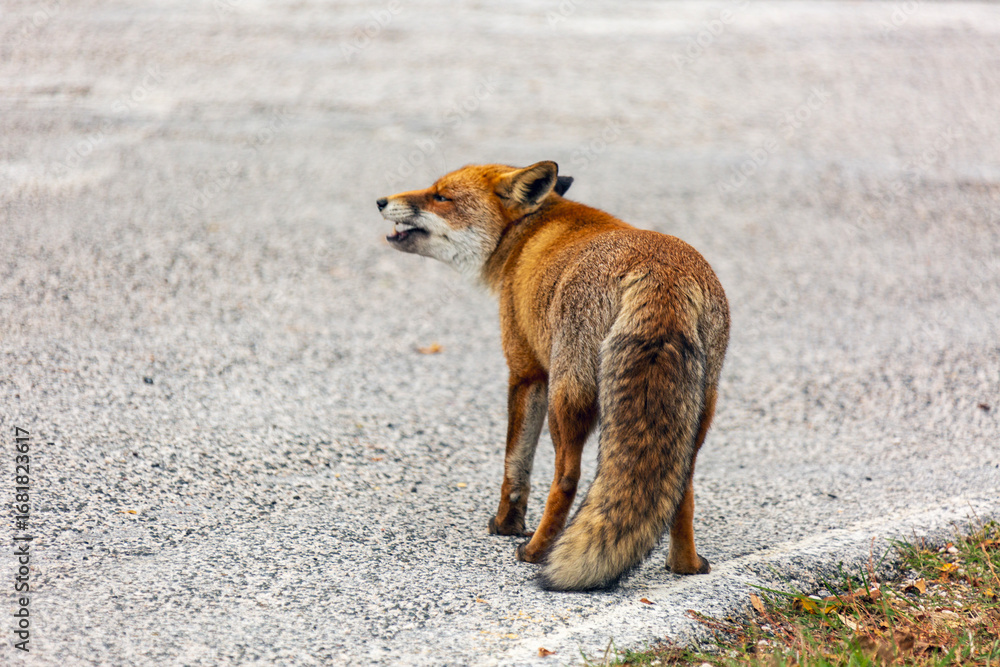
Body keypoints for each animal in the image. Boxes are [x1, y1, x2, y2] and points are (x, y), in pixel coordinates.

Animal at [376, 161, 730, 591]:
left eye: (441, 196)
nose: (381, 201)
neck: (525, 236)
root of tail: (659, 269)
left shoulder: (525, 371)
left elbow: (515, 466)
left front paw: (506, 525)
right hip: (700, 407)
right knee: (682, 486)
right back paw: (685, 566)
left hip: (568, 396)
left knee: (567, 478)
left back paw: (536, 552)